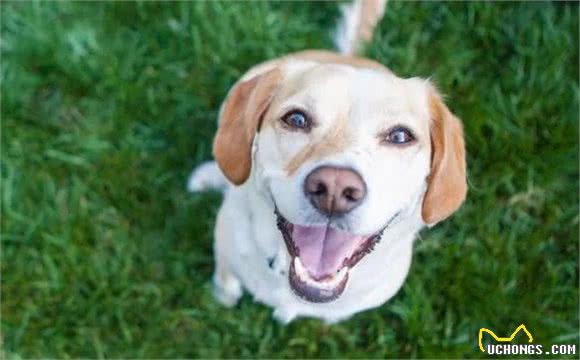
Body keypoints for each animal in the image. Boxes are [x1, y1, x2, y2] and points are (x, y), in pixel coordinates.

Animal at [188, 0, 468, 320]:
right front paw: (222, 298)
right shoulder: (225, 249)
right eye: (296, 119)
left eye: (399, 136)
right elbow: (225, 281)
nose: (335, 188)